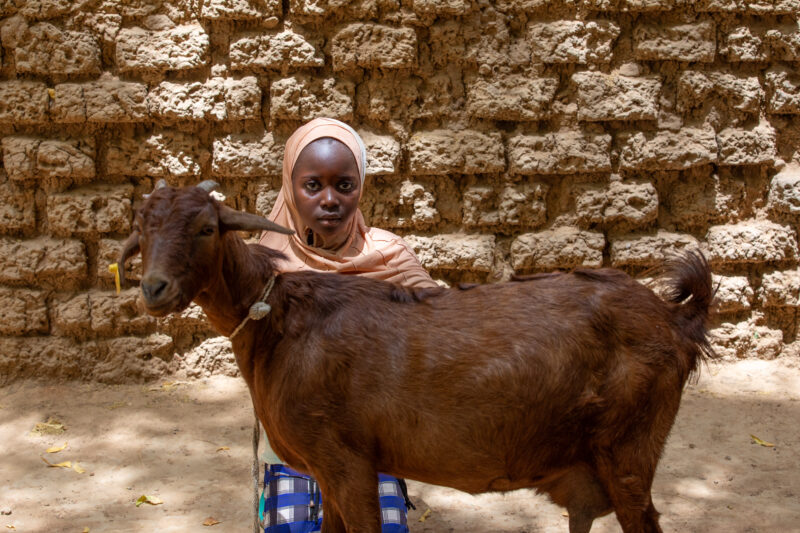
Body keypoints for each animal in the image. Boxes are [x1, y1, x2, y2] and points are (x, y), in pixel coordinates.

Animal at [120, 182, 715, 533]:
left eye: (205, 228)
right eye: (142, 230)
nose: (154, 289)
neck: (281, 320)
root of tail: (674, 319)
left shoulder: (347, 464)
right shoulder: (326, 473)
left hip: (629, 449)